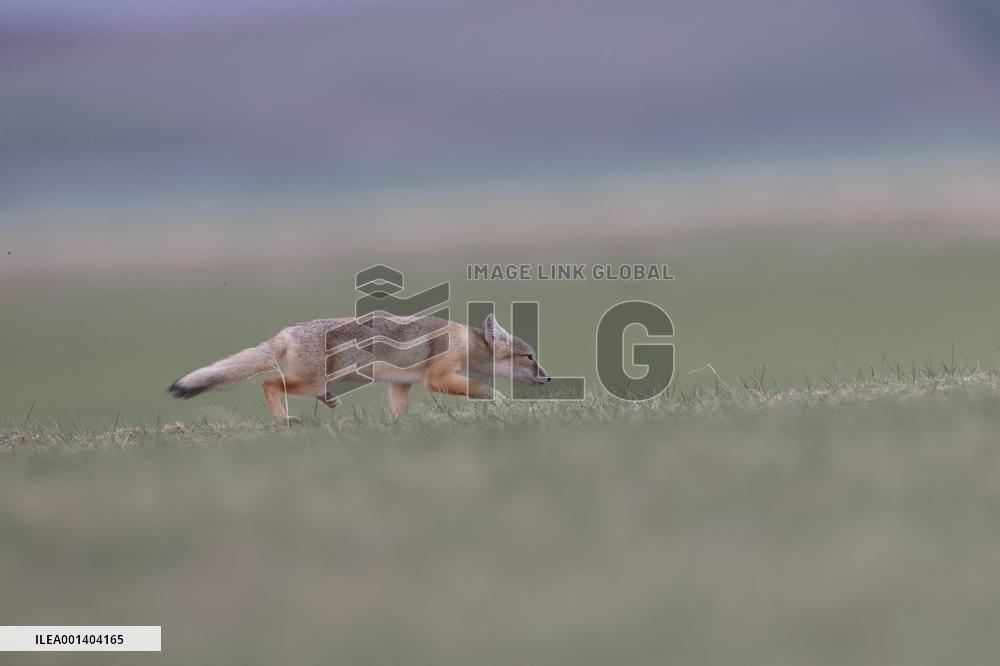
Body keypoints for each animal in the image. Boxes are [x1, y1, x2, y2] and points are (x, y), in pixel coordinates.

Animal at [168, 313, 550, 420]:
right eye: (530, 356)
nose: (547, 377)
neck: (463, 340)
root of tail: (288, 330)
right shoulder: (437, 378)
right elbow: (484, 387)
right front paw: (502, 403)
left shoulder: (401, 384)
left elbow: (398, 412)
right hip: (307, 380)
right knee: (270, 384)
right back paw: (284, 420)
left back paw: (328, 402)